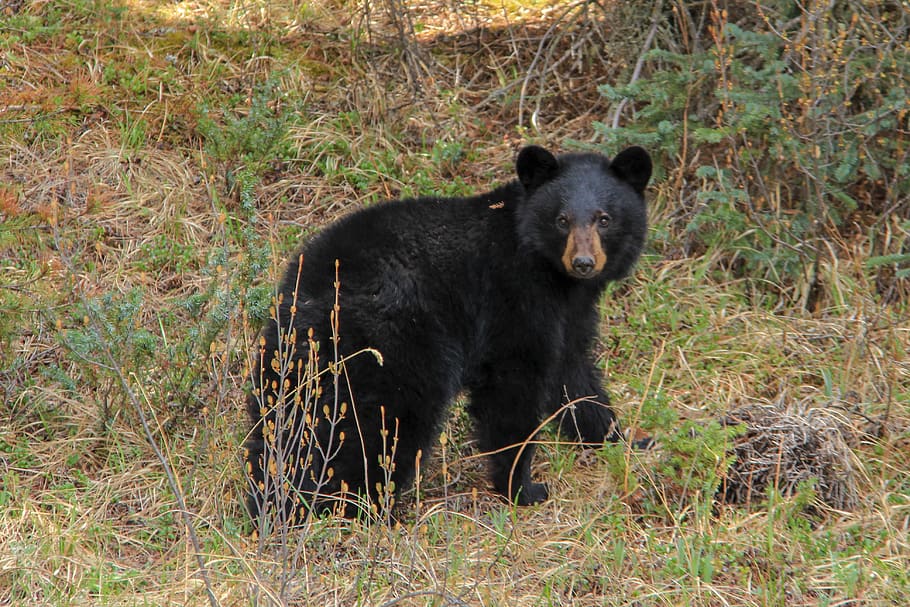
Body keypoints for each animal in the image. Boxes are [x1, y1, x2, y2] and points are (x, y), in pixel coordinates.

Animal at [244, 144, 652, 525]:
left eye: (604, 219)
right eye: (562, 220)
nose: (583, 263)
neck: (553, 275)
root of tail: (322, 288)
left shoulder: (568, 314)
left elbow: (574, 377)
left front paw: (625, 439)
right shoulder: (512, 301)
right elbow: (512, 392)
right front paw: (523, 488)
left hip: (291, 352)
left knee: (281, 421)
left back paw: (274, 501)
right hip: (399, 343)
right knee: (386, 423)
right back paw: (365, 507)